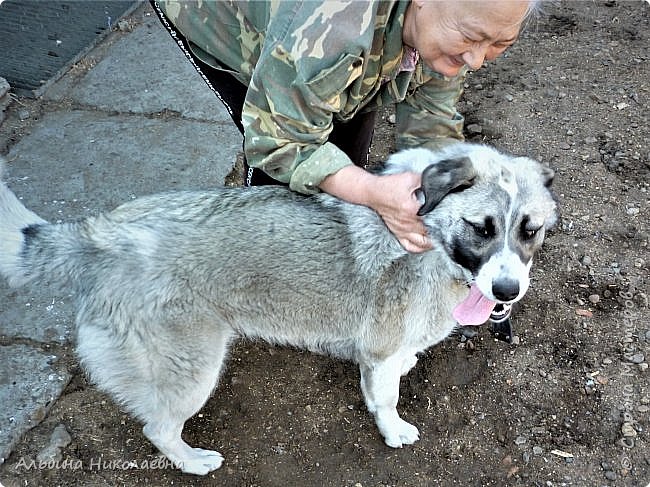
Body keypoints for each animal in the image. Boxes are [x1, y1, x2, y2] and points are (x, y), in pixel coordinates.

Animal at [1, 143, 556, 474]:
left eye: (530, 230)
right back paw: (192, 460)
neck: (432, 241)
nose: (507, 291)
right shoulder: (378, 352)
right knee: (157, 428)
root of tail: (99, 234)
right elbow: (385, 398)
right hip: (192, 371)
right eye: (480, 228)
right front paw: (393, 429)